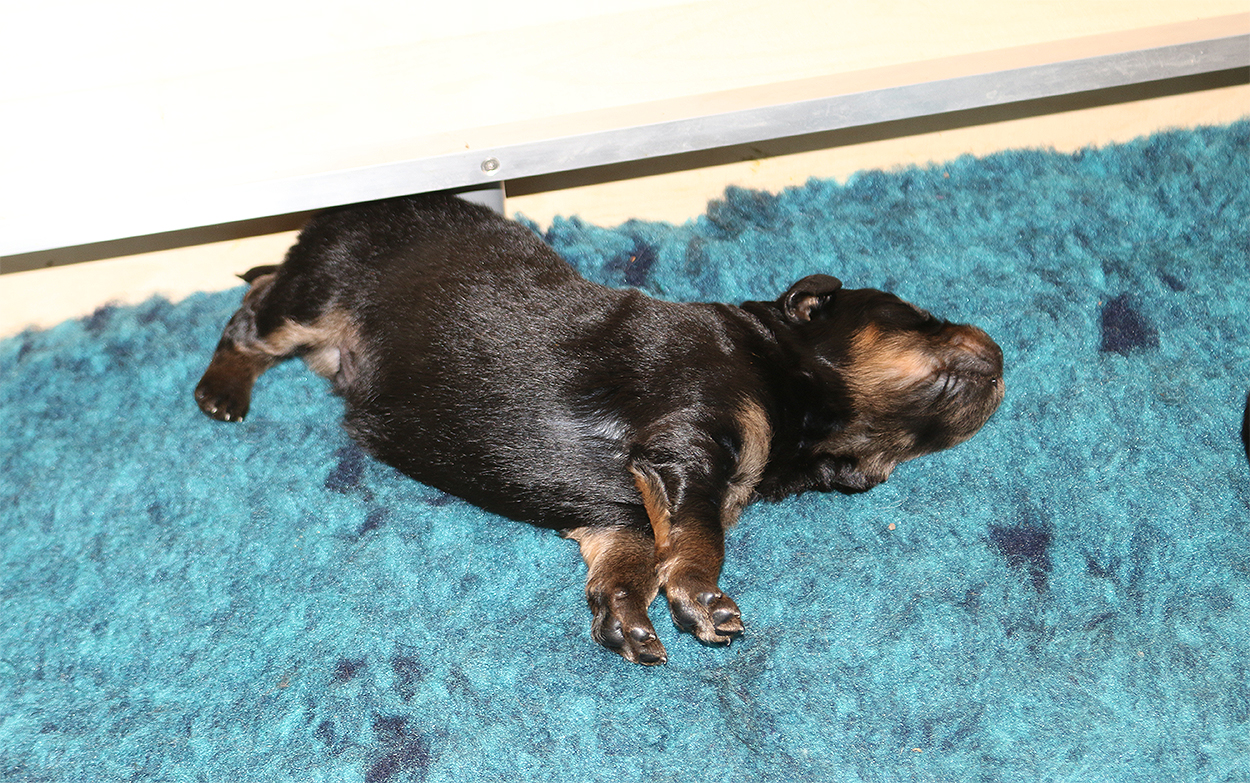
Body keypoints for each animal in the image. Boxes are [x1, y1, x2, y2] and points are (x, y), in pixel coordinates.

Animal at [194, 193, 1004, 665]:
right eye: (920, 319)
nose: (1002, 353)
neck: (778, 375)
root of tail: (327, 218)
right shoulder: (687, 442)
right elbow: (702, 535)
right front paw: (703, 599)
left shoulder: (624, 513)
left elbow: (633, 558)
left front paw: (627, 619)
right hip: (320, 290)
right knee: (252, 313)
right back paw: (221, 391)